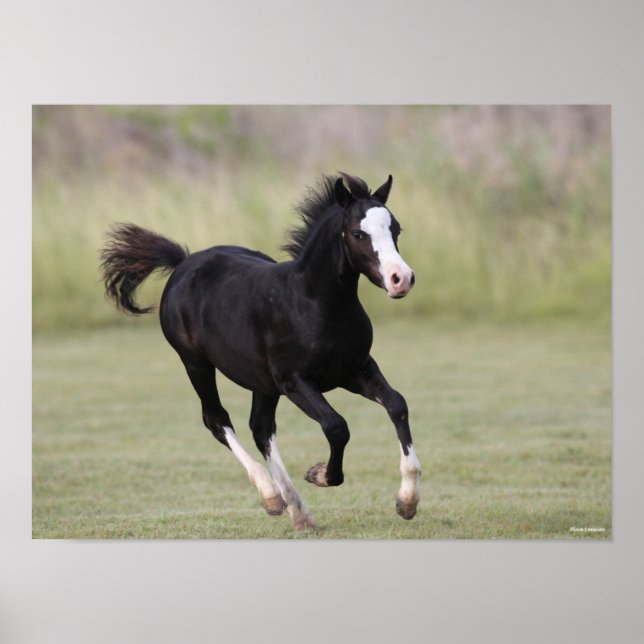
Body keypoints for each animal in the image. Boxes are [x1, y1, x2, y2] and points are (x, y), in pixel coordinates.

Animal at [100, 173, 422, 530]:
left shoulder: (356, 370)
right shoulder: (295, 382)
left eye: (396, 229)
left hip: (262, 382)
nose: (400, 279)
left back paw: (298, 511)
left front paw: (407, 502)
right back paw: (272, 497)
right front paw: (319, 474)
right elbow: (337, 426)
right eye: (358, 233)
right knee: (217, 419)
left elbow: (397, 404)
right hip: (196, 363)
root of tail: (183, 261)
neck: (316, 304)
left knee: (261, 428)